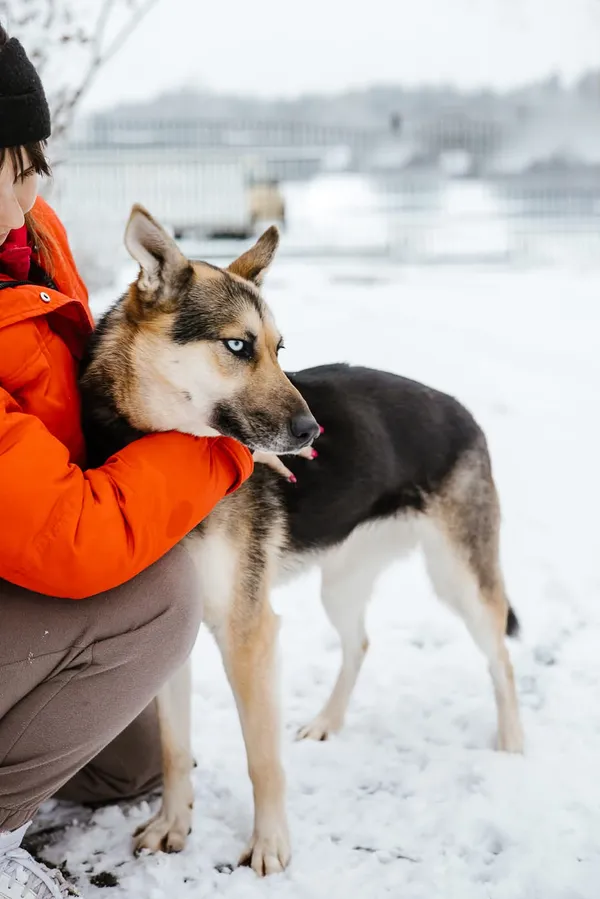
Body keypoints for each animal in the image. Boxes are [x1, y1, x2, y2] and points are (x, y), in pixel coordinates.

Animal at [78, 204, 520, 880]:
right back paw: (327, 723)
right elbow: (177, 749)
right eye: (238, 345)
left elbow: (262, 760)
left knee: (500, 658)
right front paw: (173, 827)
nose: (314, 432)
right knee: (360, 642)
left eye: (279, 348)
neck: (159, 453)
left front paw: (269, 847)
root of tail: (458, 407)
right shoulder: (178, 638)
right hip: (341, 583)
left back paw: (514, 748)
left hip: (460, 582)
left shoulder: (249, 632)